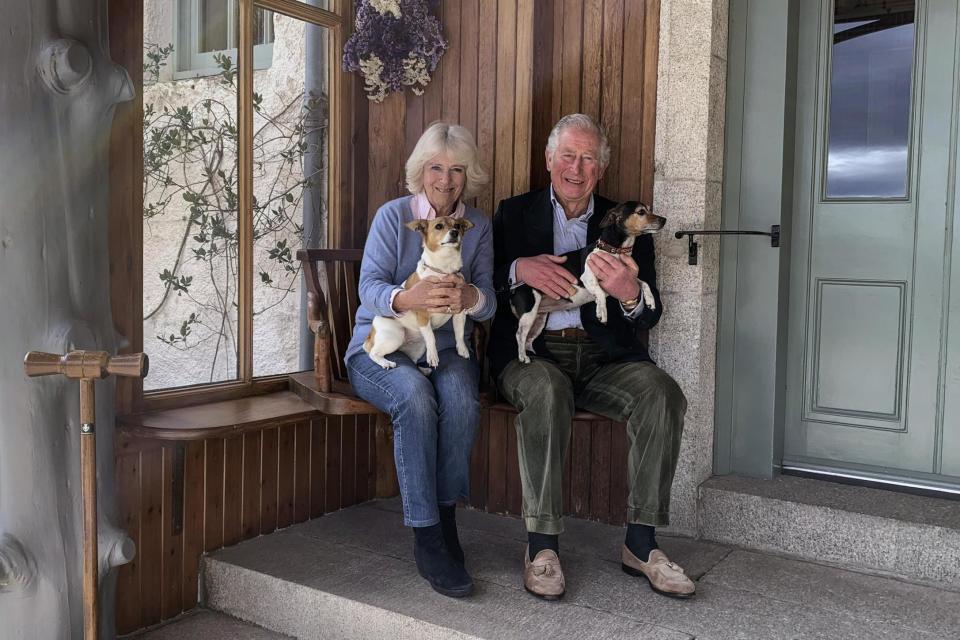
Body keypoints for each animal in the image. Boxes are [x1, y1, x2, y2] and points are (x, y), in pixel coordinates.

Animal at [364, 216, 476, 370]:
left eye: (458, 226)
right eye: (439, 226)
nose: (454, 232)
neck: (443, 270)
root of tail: (371, 334)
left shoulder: (459, 314)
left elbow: (459, 333)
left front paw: (462, 349)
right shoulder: (423, 316)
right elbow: (431, 338)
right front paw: (433, 356)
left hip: (418, 347)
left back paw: (423, 370)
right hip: (394, 335)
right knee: (373, 353)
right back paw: (386, 362)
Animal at [510, 204, 668, 364]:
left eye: (648, 209)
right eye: (641, 212)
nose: (664, 220)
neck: (615, 250)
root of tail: (515, 289)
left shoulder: (626, 277)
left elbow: (644, 283)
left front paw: (650, 301)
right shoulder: (587, 277)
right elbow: (600, 293)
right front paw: (602, 312)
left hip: (539, 319)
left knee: (528, 339)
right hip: (529, 314)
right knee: (520, 335)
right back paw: (523, 357)